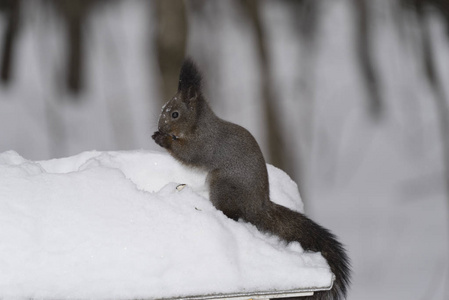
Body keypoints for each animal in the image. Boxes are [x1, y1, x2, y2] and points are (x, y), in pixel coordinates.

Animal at [152, 57, 352, 298]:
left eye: (174, 114)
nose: (159, 127)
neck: (199, 125)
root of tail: (259, 206)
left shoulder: (205, 144)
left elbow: (188, 154)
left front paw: (163, 139)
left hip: (222, 185)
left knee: (233, 214)